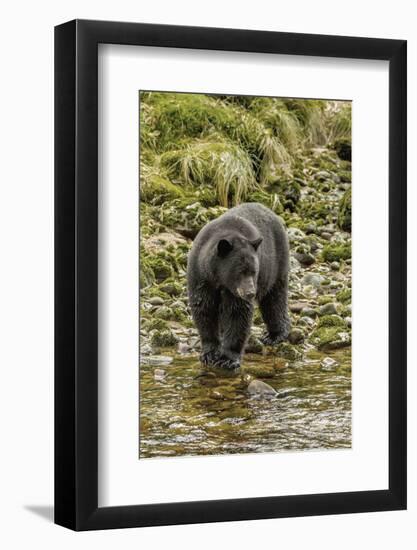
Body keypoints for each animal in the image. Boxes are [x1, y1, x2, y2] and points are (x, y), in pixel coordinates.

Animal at [186, 201, 288, 368]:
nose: (251, 293)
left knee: (275, 299)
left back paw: (275, 335)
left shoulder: (235, 290)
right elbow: (204, 308)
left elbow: (237, 313)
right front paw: (209, 353)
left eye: (254, 271)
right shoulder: (201, 277)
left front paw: (228, 359)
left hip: (277, 263)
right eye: (240, 272)